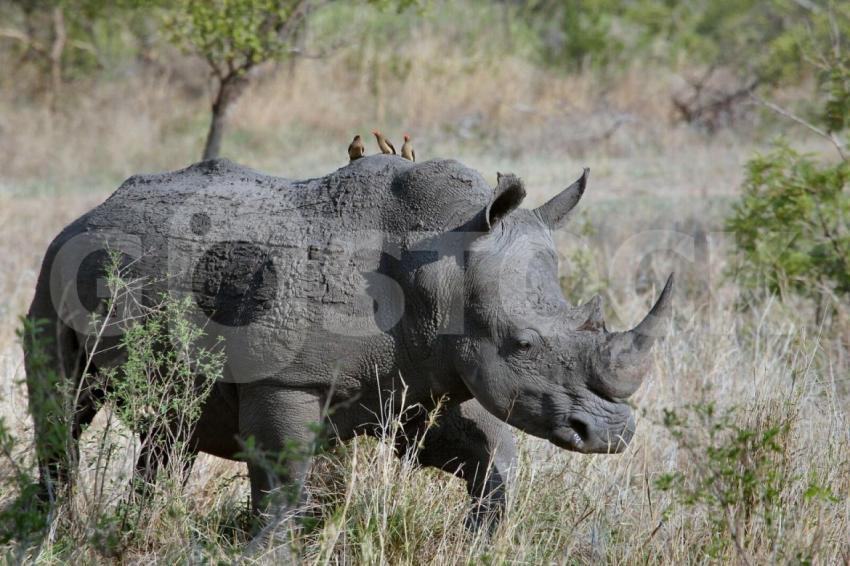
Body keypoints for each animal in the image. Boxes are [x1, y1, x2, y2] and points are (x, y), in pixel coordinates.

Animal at [24, 155, 672, 529]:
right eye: (523, 343)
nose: (612, 435)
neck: (442, 264)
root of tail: (95, 208)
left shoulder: (419, 375)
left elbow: (491, 453)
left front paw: (479, 538)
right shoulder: (285, 377)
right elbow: (283, 481)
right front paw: (268, 550)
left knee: (171, 428)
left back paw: (131, 529)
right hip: (54, 263)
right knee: (63, 406)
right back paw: (50, 532)